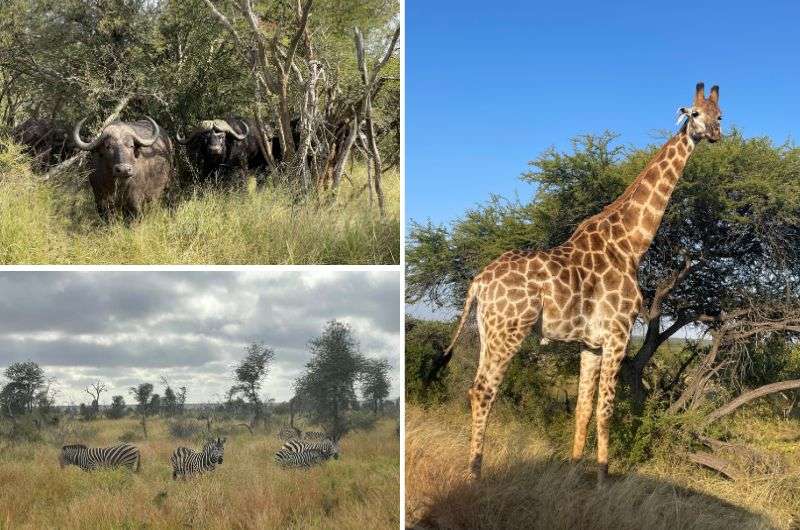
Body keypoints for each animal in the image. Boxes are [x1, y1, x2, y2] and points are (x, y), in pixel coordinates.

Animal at [438, 80, 724, 480]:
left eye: (720, 115)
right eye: (694, 114)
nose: (714, 134)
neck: (630, 244)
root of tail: (479, 281)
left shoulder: (591, 343)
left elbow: (583, 410)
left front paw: (574, 472)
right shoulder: (619, 334)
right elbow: (606, 410)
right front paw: (604, 477)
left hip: (486, 331)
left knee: (476, 388)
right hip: (510, 329)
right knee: (483, 391)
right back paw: (475, 474)